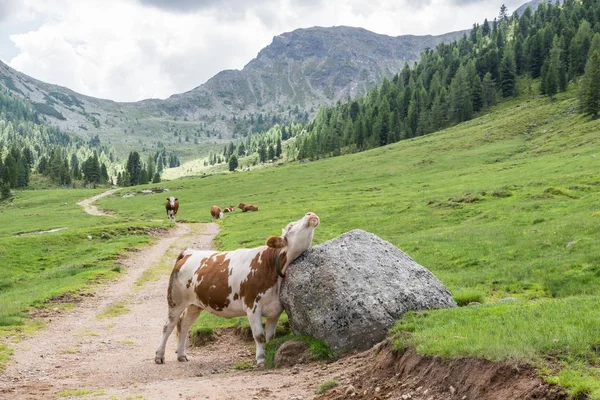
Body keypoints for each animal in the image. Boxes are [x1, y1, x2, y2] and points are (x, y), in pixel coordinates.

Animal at [157, 212, 322, 366]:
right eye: (290, 226)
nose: (310, 214)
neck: (271, 268)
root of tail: (189, 252)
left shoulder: (275, 310)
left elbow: (270, 336)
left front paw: (268, 354)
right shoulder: (252, 307)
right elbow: (258, 335)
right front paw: (260, 359)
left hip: (195, 304)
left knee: (184, 324)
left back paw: (181, 355)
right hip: (175, 301)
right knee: (168, 326)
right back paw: (159, 356)